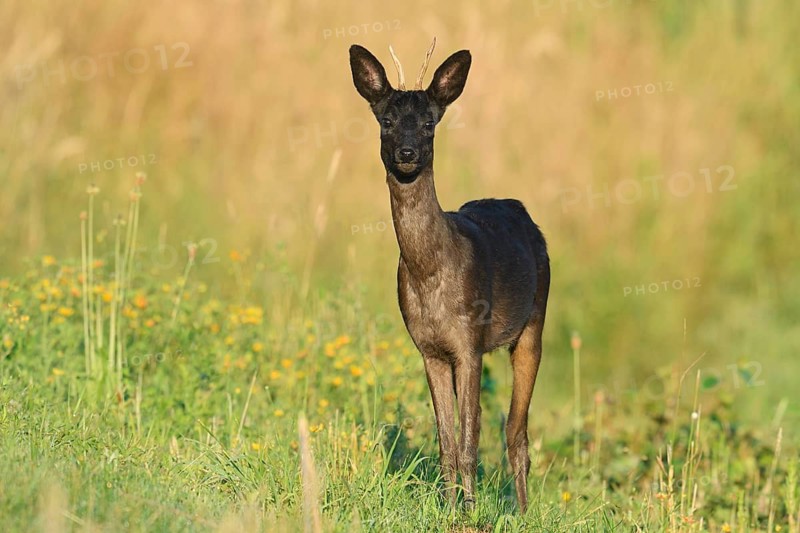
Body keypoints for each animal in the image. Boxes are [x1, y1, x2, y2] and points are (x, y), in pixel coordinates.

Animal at [348, 39, 550, 513]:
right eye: (386, 121)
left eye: (429, 123)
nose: (406, 153)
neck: (431, 275)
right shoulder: (429, 348)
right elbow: (445, 438)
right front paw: (446, 503)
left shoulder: (469, 341)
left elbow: (470, 434)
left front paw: (469, 510)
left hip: (535, 320)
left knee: (516, 431)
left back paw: (523, 510)